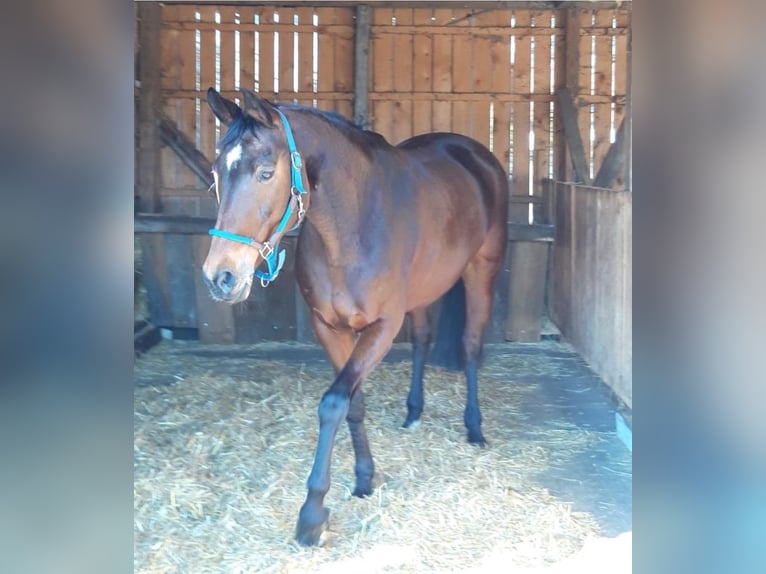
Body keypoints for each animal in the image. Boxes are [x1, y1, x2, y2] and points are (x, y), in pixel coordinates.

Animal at [202, 88, 510, 548]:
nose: (220, 277)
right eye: (217, 172)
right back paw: (414, 413)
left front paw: (312, 514)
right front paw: (365, 478)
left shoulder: (380, 329)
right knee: (422, 339)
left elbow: (333, 403)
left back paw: (474, 429)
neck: (350, 228)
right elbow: (353, 404)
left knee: (471, 345)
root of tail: (474, 153)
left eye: (265, 173)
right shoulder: (330, 328)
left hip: (481, 272)